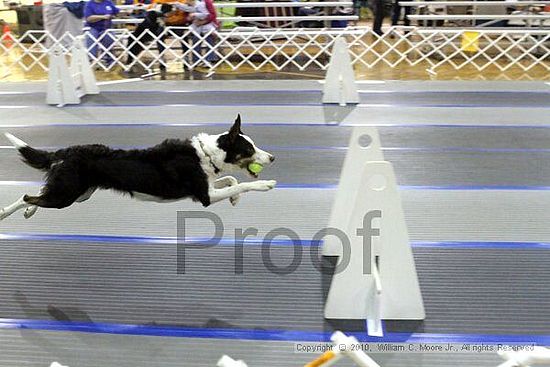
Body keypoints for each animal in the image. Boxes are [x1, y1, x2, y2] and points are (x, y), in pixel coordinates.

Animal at [0, 115, 276, 220]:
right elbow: (244, 183)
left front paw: (235, 199)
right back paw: (5, 213)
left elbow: (232, 181)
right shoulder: (204, 196)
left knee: (37, 194)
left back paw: (28, 212)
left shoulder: (206, 186)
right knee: (26, 196)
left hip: (78, 193)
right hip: (66, 196)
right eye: (249, 150)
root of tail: (66, 151)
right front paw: (265, 184)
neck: (207, 154)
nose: (273, 158)